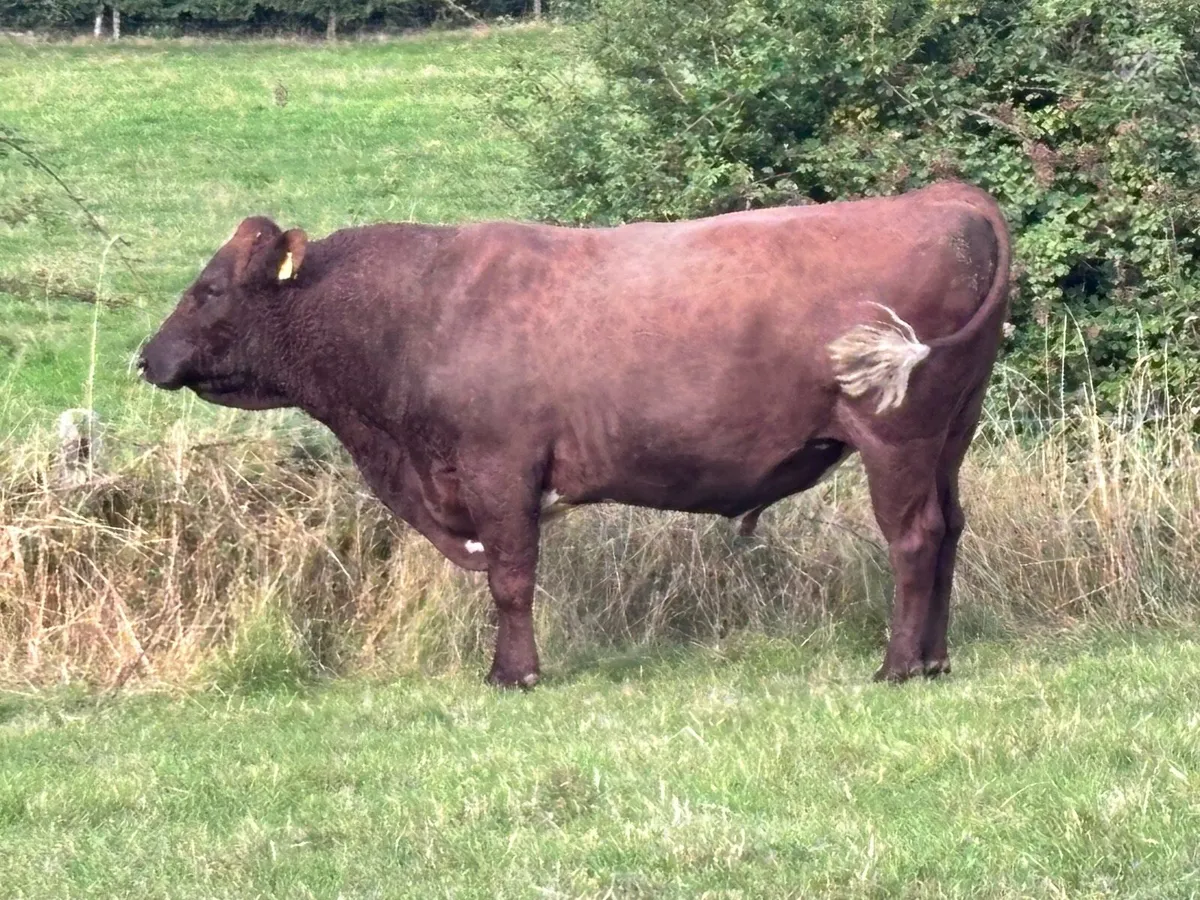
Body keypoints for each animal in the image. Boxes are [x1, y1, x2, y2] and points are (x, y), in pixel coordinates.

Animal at [139, 180, 1010, 687]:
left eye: (209, 289)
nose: (146, 355)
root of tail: (943, 195)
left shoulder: (499, 468)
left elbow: (510, 579)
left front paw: (513, 673)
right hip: (951, 433)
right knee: (950, 529)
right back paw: (935, 659)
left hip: (896, 434)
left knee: (912, 537)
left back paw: (898, 664)